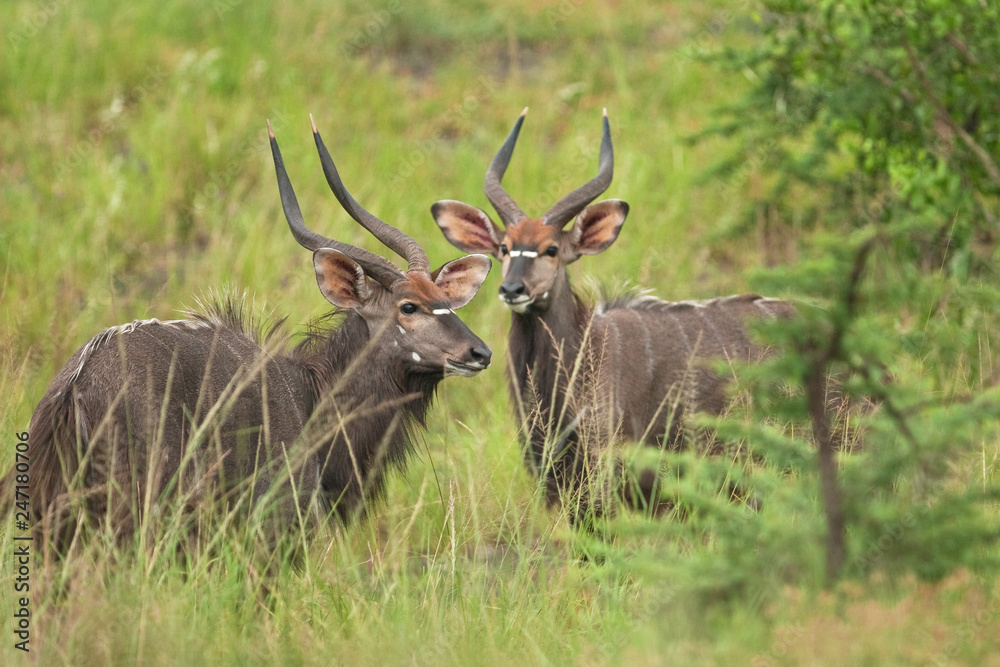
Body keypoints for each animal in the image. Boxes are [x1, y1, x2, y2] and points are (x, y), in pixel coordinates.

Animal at [3, 120, 492, 560]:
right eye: (408, 306)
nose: (480, 352)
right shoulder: (273, 528)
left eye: (444, 299)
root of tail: (76, 388)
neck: (313, 397)